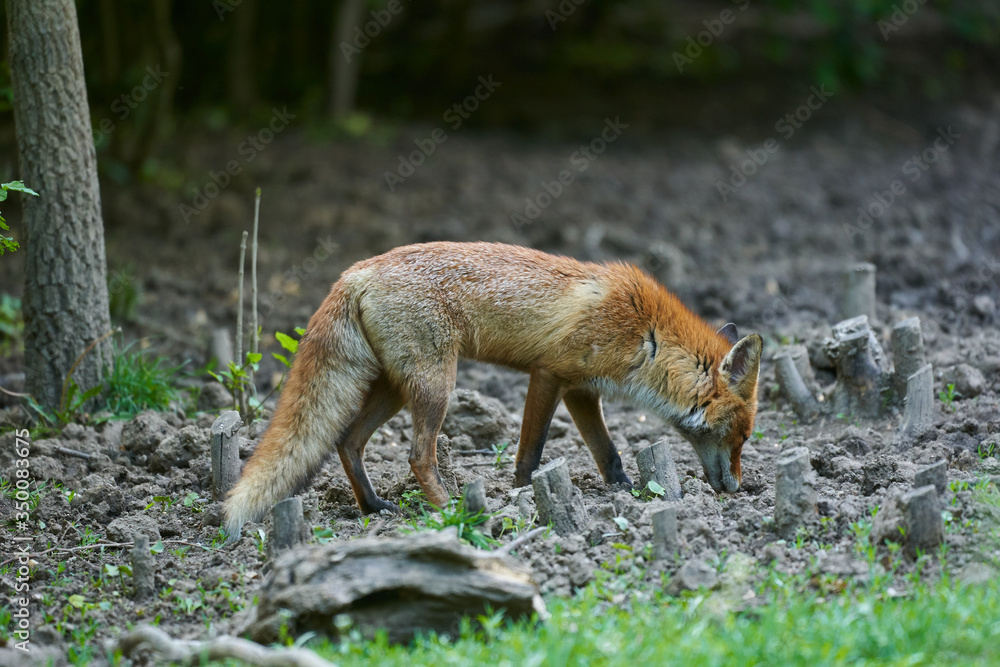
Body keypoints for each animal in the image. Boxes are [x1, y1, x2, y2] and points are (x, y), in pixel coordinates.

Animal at [222, 241, 762, 540]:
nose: (737, 489)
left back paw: (375, 509)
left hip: (395, 388)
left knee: (347, 441)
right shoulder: (549, 375)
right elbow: (531, 453)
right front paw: (525, 499)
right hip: (436, 386)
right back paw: (451, 512)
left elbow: (608, 454)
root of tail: (357, 270)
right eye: (742, 438)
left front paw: (626, 494)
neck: (646, 334)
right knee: (417, 454)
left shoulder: (582, 391)